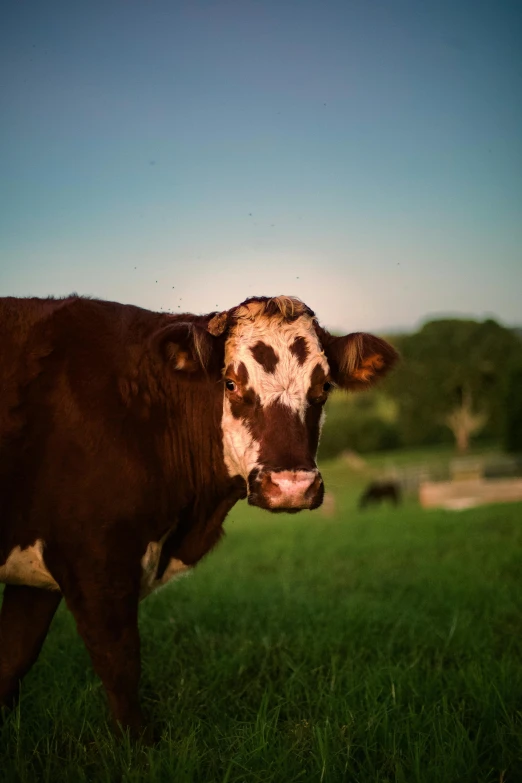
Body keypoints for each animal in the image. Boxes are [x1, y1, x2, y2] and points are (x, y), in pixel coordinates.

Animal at [0, 294, 396, 736]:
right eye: (231, 383)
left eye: (324, 386)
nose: (291, 485)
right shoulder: (95, 560)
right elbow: (120, 666)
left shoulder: (38, 574)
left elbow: (12, 659)